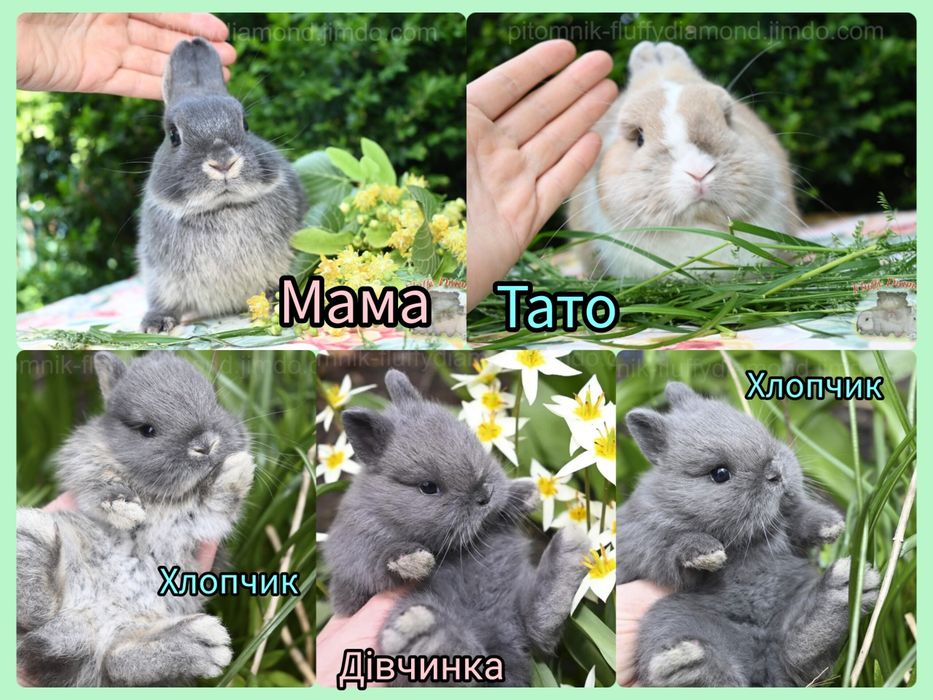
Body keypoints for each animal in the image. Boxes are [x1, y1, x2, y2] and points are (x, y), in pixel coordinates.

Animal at [16, 352, 256, 686]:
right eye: (146, 429)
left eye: (215, 402)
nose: (206, 444)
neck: (157, 497)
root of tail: (84, 624)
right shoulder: (85, 463)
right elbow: (99, 486)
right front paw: (127, 511)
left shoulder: (199, 521)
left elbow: (215, 499)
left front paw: (239, 465)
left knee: (116, 660)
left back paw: (203, 644)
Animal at [138, 37, 308, 333]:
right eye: (173, 135)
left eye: (245, 124)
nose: (223, 162)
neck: (223, 207)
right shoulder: (160, 275)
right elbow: (164, 300)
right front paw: (154, 325)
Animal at [323, 369, 590, 686]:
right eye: (428, 487)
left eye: (470, 439)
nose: (485, 494)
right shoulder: (354, 553)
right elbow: (375, 560)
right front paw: (415, 560)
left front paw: (527, 493)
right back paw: (420, 634)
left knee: (536, 624)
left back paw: (569, 550)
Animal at [616, 382, 881, 686]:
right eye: (720, 473)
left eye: (764, 433)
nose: (776, 472)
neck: (747, 541)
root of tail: (764, 663)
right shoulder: (637, 538)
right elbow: (667, 548)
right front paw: (707, 553)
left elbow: (795, 522)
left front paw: (829, 525)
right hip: (669, 619)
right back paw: (686, 665)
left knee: (798, 654)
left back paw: (842, 589)